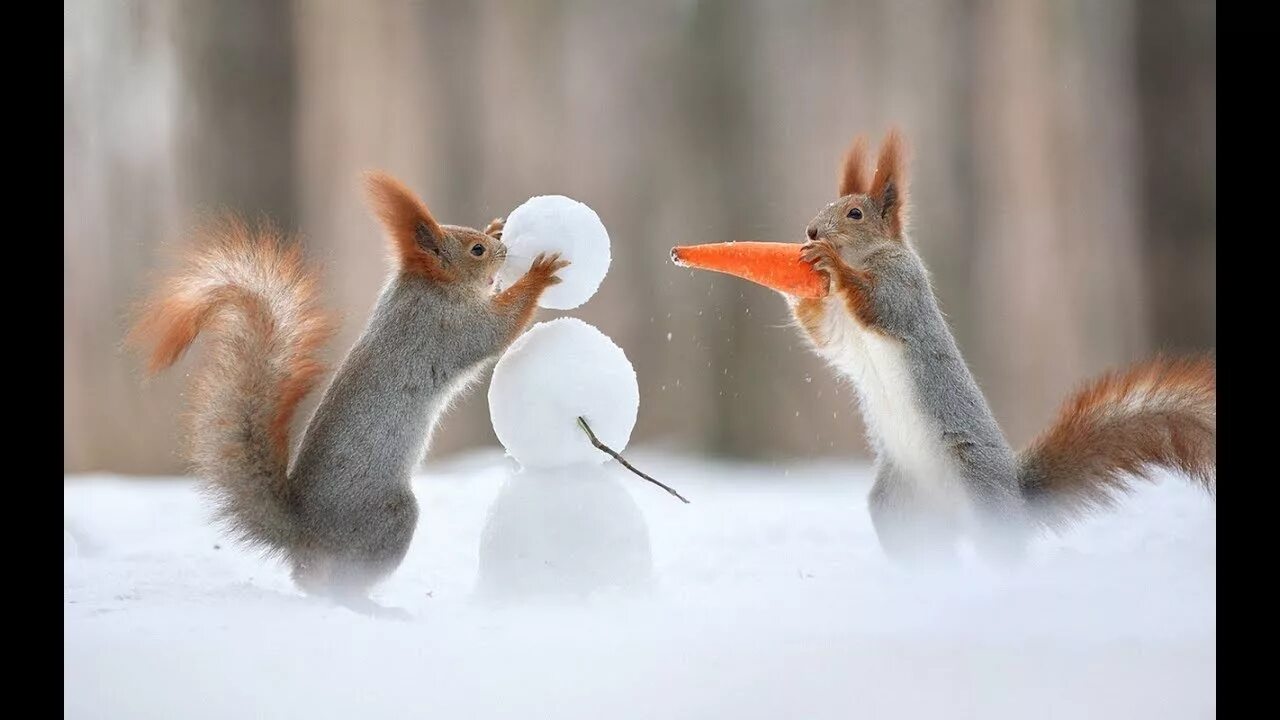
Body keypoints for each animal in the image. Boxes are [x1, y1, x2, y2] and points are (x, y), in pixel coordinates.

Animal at [131, 169, 570, 609]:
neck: (426, 286)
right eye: (477, 251)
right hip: (387, 518)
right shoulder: (444, 327)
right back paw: (369, 605)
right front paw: (539, 275)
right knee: (337, 584)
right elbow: (496, 330)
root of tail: (305, 533)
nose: (502, 246)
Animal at [783, 128, 1213, 563]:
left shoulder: (902, 284)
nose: (811, 232)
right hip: (898, 506)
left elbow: (879, 304)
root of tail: (1015, 499)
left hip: (978, 490)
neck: (867, 258)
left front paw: (830, 263)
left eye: (855, 214)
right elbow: (823, 334)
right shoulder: (842, 331)